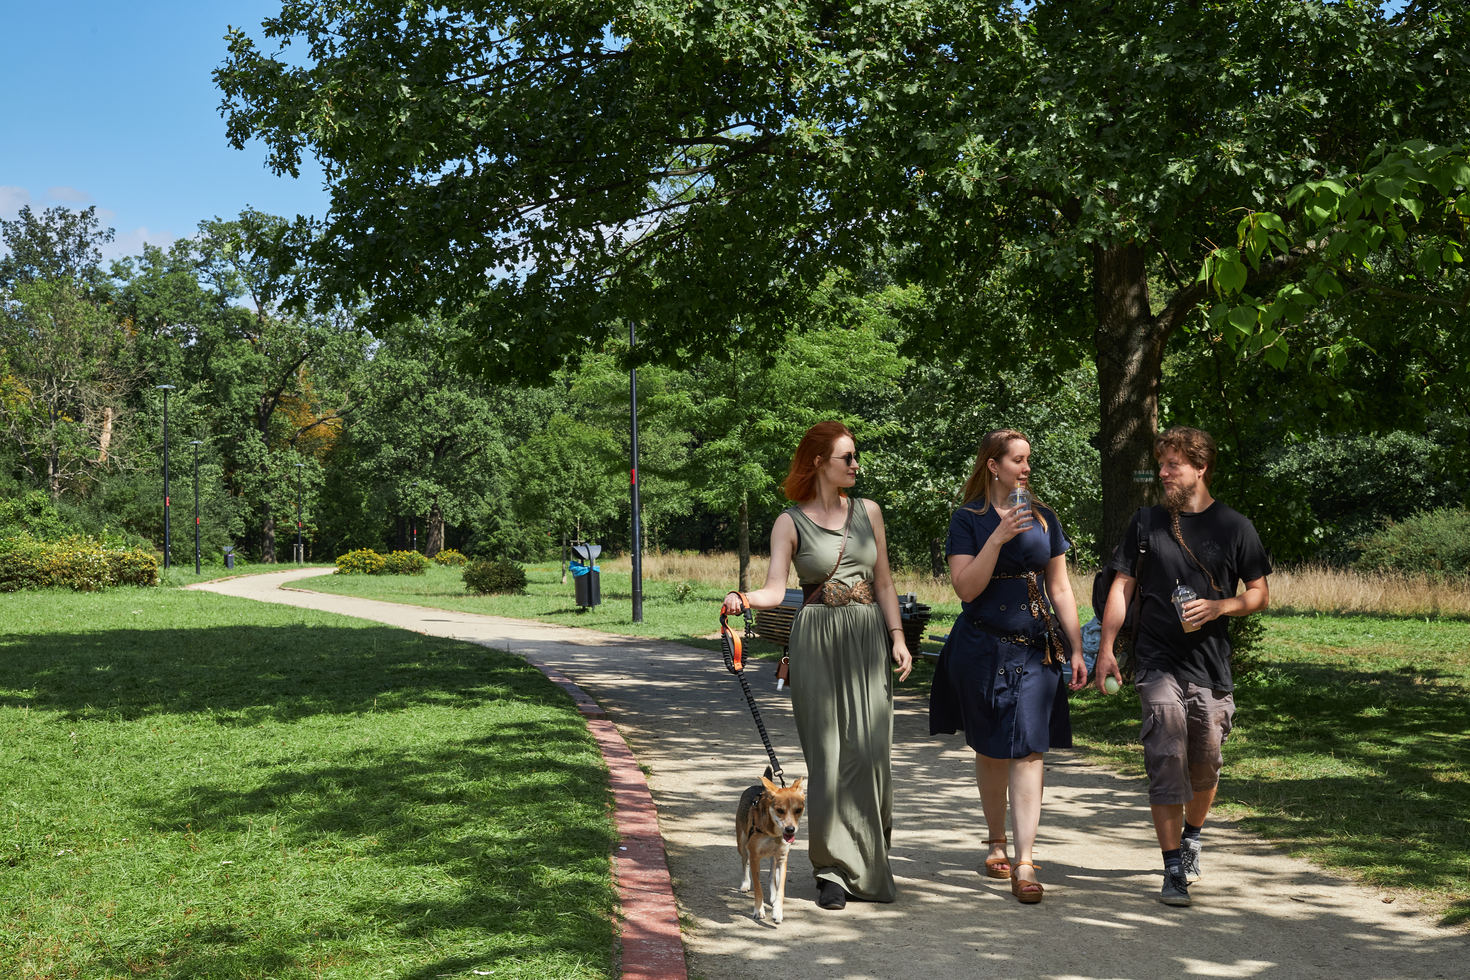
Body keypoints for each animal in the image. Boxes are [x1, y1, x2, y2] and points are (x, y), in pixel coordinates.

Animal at [735, 769, 805, 922]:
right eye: (780, 810)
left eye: (798, 810)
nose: (790, 829)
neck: (773, 833)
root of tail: (760, 787)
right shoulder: (755, 857)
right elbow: (758, 888)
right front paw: (758, 910)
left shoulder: (782, 858)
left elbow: (781, 889)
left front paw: (778, 911)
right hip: (742, 844)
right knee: (744, 862)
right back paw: (745, 884)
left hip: (774, 857)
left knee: (772, 875)